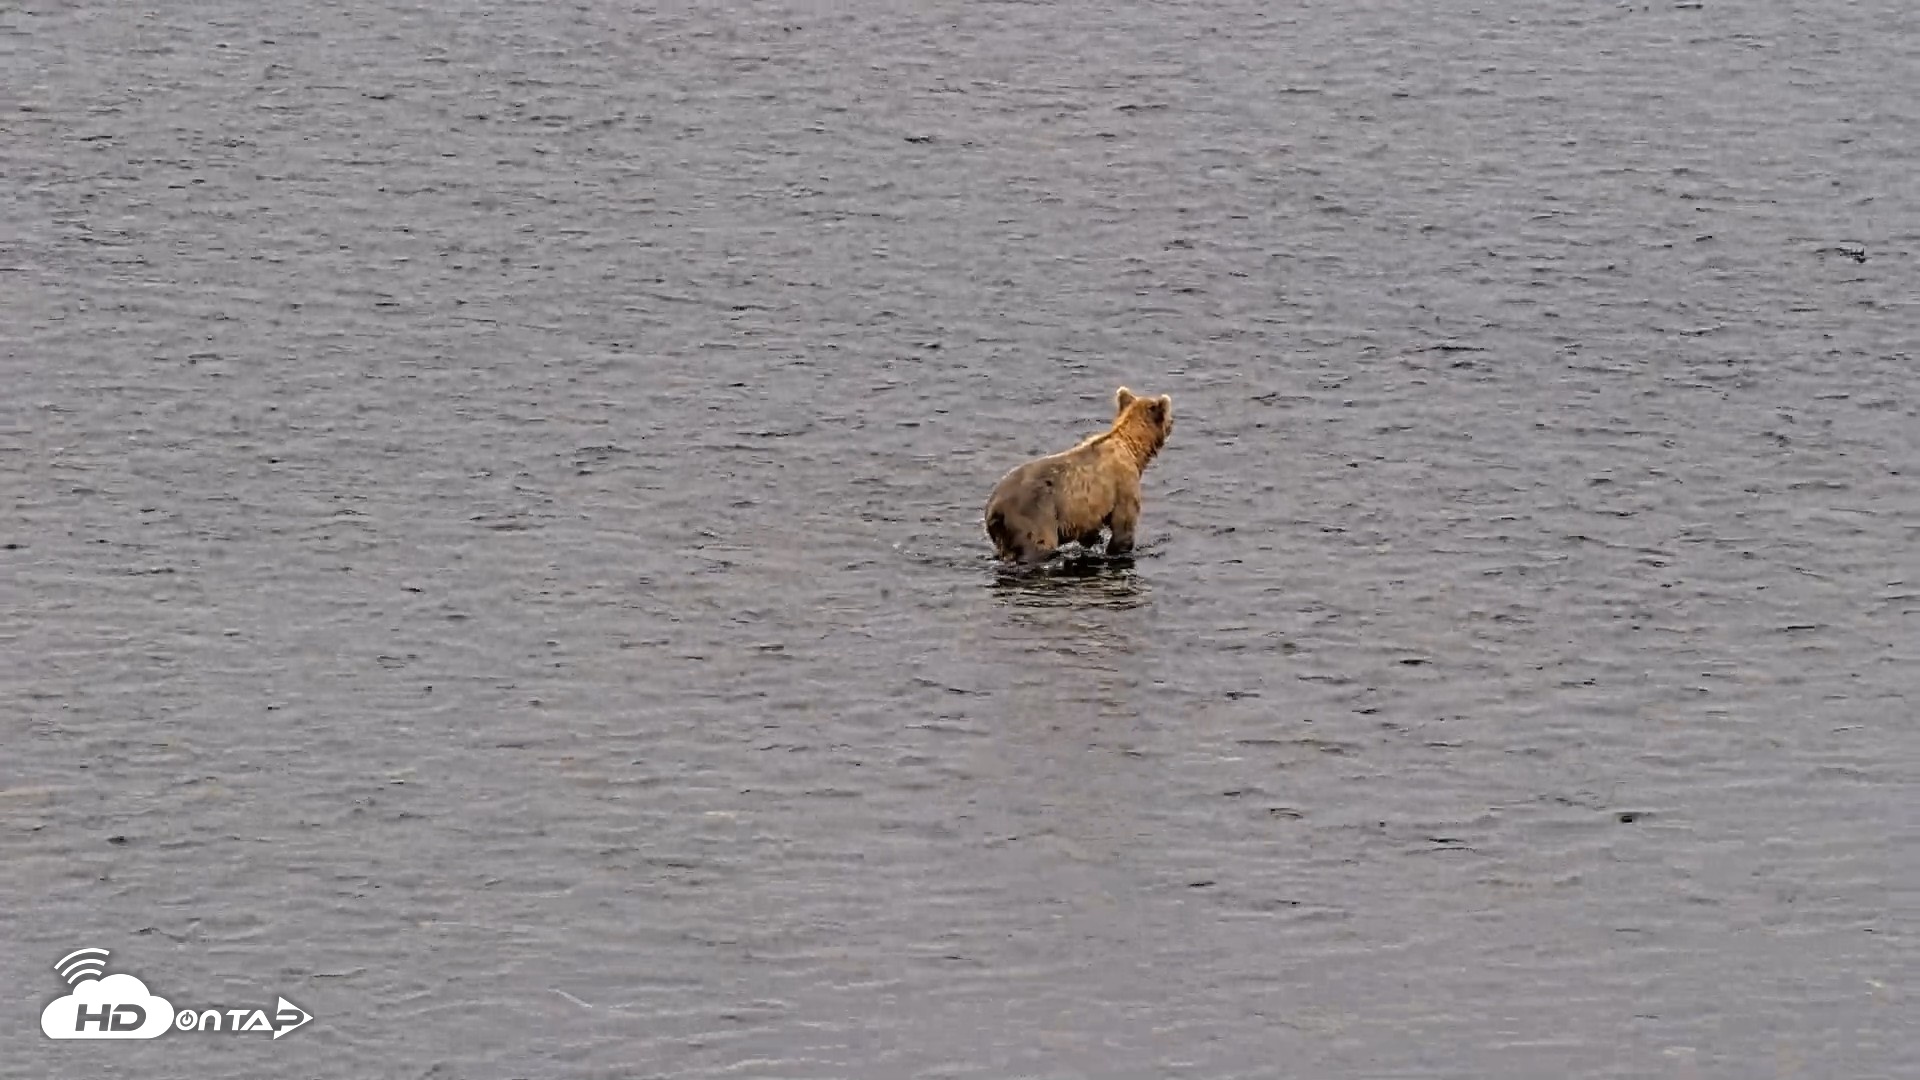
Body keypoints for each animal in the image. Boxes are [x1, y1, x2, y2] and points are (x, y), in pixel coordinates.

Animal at [983, 386, 1175, 564]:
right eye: (1169, 417)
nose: (1172, 422)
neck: (1132, 448)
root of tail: (994, 507)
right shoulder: (1123, 485)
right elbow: (1123, 527)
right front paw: (1118, 550)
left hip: (1004, 532)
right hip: (1034, 515)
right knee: (1039, 545)